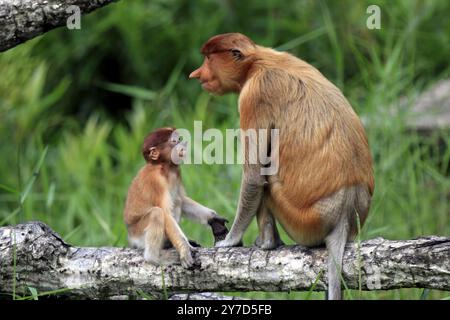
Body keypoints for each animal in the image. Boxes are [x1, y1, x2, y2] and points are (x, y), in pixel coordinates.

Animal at [123, 127, 229, 268]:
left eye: (179, 139)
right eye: (174, 141)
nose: (182, 145)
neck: (163, 167)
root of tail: (130, 237)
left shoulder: (176, 173)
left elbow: (182, 199)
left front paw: (214, 218)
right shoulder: (155, 181)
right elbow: (166, 213)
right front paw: (185, 249)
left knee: (177, 201)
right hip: (138, 234)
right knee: (157, 213)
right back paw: (154, 258)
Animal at [188, 33, 374, 298]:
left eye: (208, 59)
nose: (196, 74)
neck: (257, 63)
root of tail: (344, 215)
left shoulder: (253, 96)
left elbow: (254, 177)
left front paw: (229, 241)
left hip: (303, 220)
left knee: (267, 183)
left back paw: (267, 243)